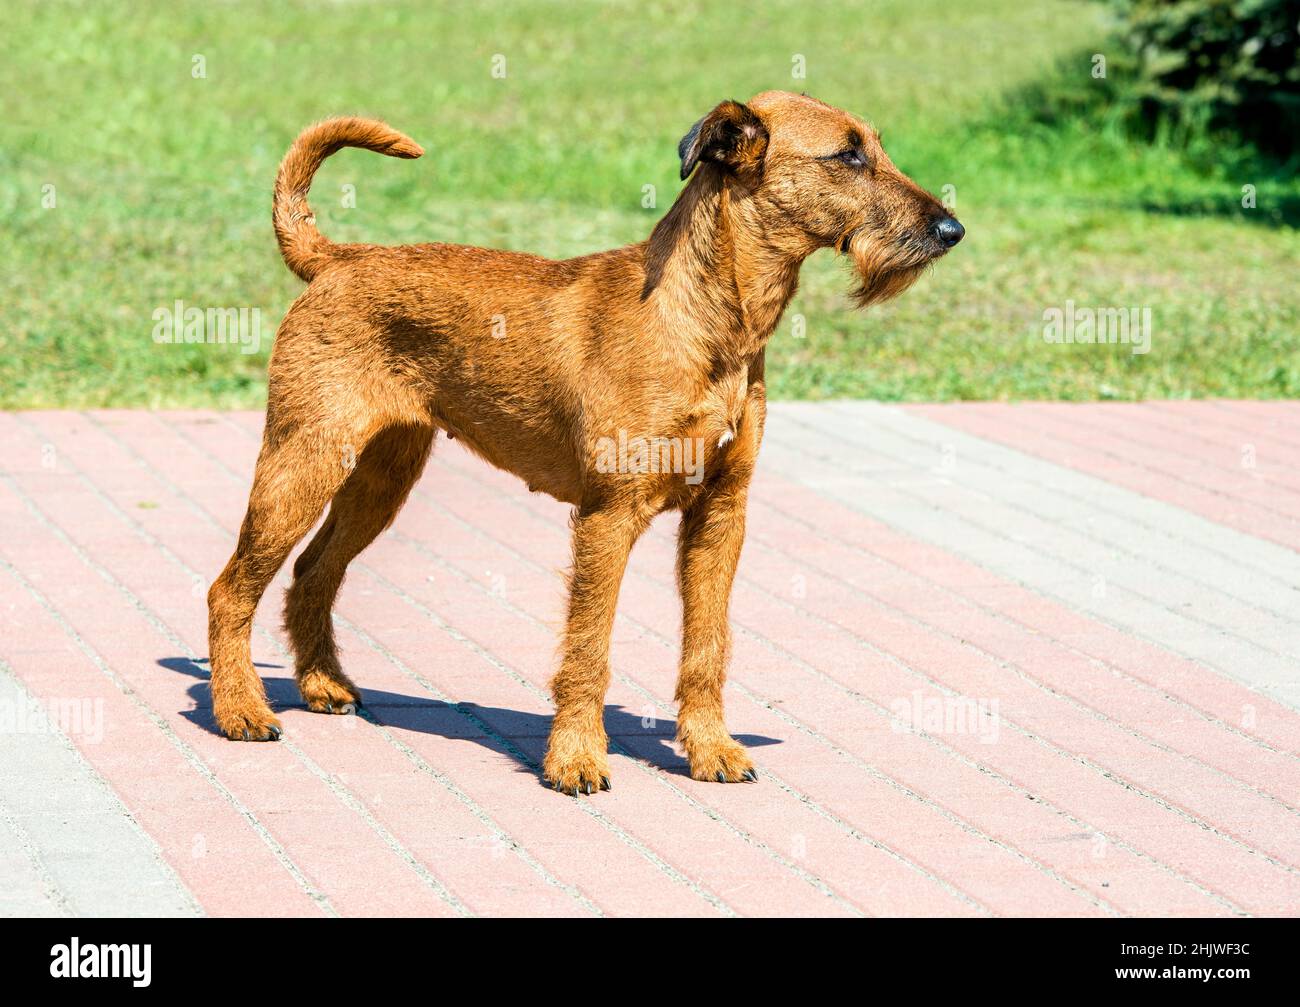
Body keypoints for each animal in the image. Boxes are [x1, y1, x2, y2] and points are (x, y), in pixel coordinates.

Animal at [210, 92, 967, 795]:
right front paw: (575, 759)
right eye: (848, 156)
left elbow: (707, 646)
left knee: (314, 571)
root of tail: (337, 260)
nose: (952, 228)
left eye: (876, 146)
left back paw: (322, 684)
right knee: (230, 589)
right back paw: (241, 710)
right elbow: (588, 648)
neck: (703, 321)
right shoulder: (609, 517)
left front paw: (711, 750)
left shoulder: (721, 515)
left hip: (379, 479)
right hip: (300, 464)